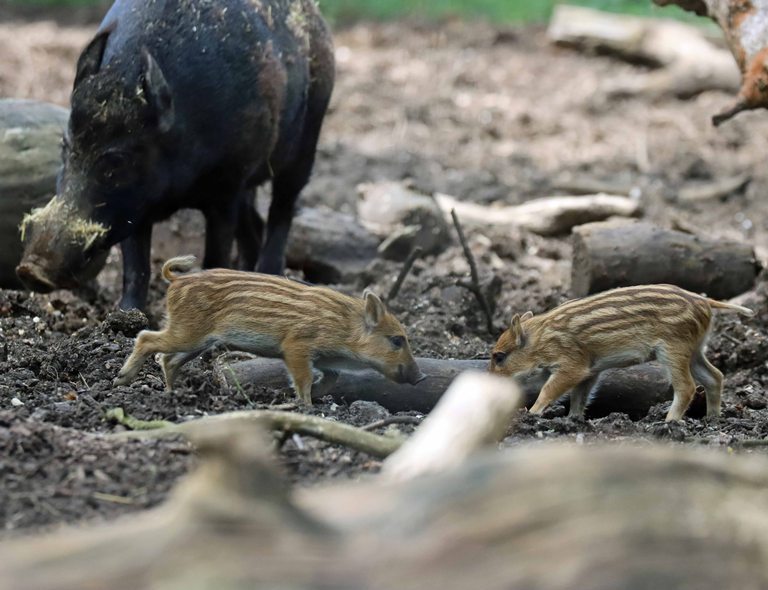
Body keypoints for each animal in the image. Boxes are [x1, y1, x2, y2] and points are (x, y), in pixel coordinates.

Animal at [16, 0, 335, 310]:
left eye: (116, 163)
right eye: (65, 146)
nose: (31, 269)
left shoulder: (228, 184)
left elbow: (214, 255)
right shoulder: (135, 208)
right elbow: (136, 266)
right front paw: (126, 315)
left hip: (308, 139)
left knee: (283, 209)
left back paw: (271, 272)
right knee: (254, 225)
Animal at [114, 255, 426, 404]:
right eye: (397, 341)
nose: (421, 378)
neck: (345, 328)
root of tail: (176, 281)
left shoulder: (325, 359)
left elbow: (331, 378)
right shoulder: (296, 346)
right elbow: (303, 378)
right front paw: (305, 406)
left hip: (198, 342)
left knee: (167, 359)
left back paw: (171, 393)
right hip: (188, 332)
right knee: (146, 339)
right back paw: (121, 380)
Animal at [489, 284, 754, 421]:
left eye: (499, 357)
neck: (540, 340)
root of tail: (705, 302)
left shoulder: (572, 365)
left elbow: (549, 389)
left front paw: (532, 414)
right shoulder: (590, 370)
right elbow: (579, 396)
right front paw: (574, 420)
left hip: (673, 349)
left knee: (687, 387)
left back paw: (668, 423)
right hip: (695, 349)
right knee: (715, 376)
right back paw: (712, 419)